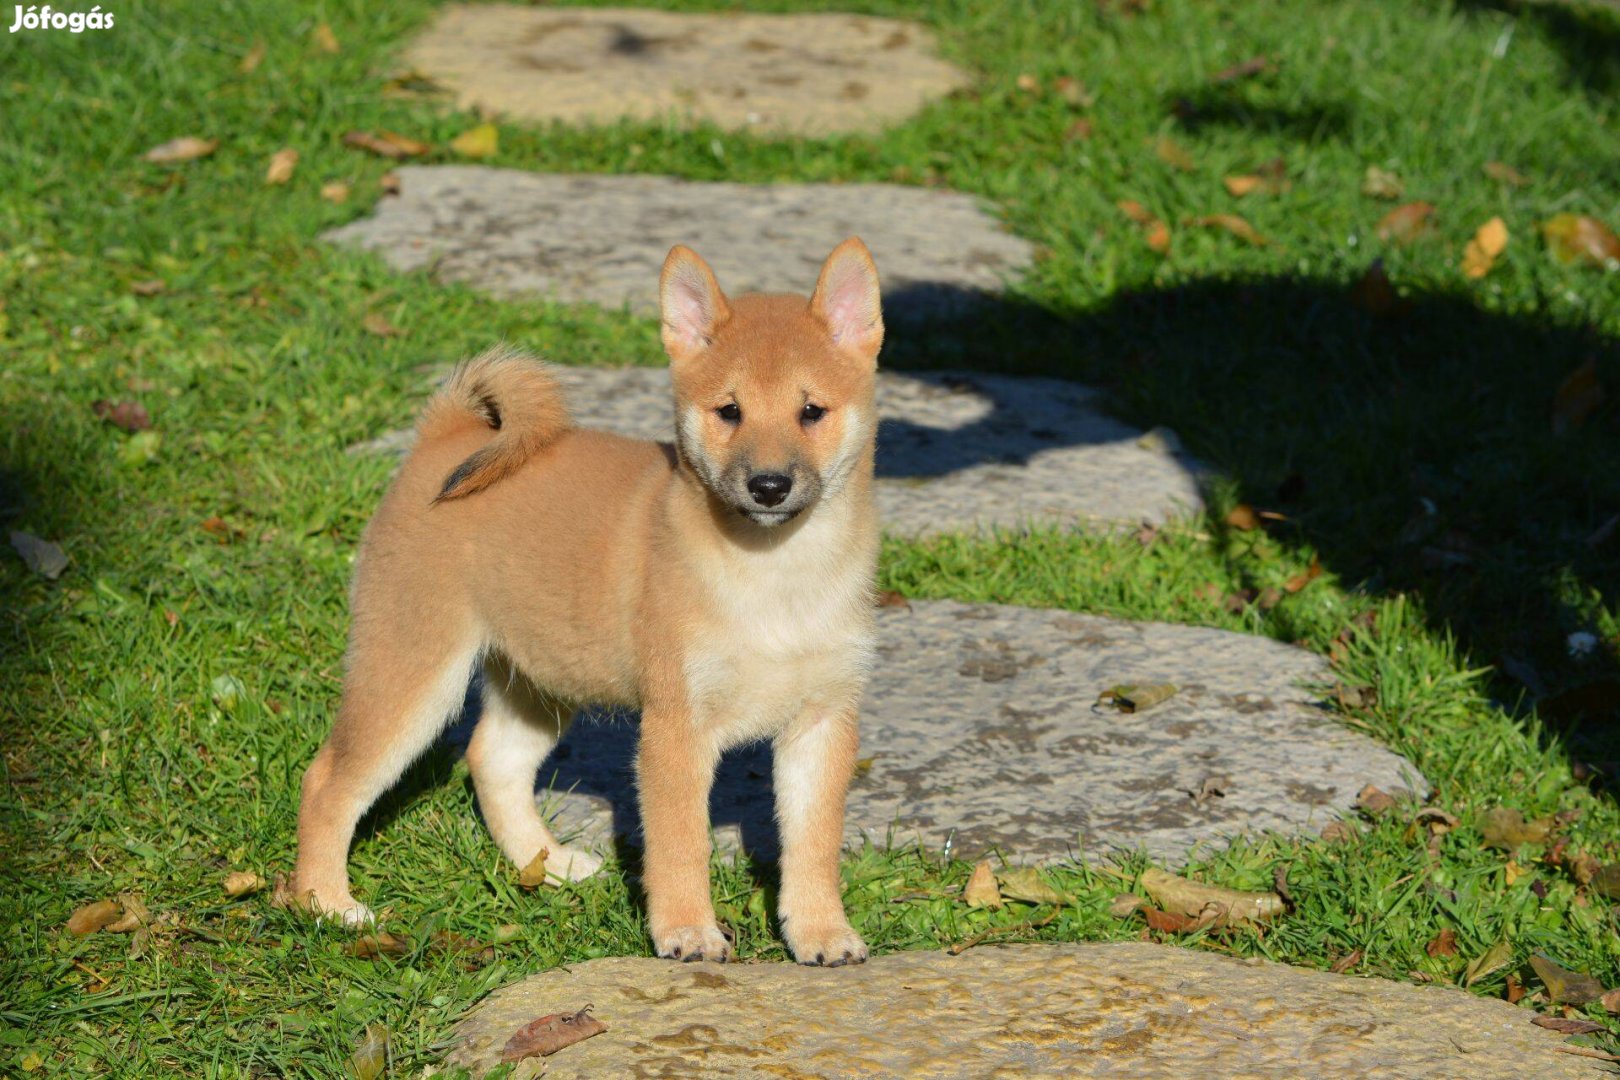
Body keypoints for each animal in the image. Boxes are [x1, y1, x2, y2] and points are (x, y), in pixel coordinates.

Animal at [285, 238, 881, 965]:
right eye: (730, 412)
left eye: (811, 411)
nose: (769, 485)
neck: (776, 579)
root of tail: (444, 438)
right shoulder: (677, 727)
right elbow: (680, 845)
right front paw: (687, 931)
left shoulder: (823, 721)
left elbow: (813, 845)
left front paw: (821, 931)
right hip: (412, 671)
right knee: (328, 782)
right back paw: (326, 904)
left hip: (538, 681)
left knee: (491, 762)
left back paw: (548, 864)